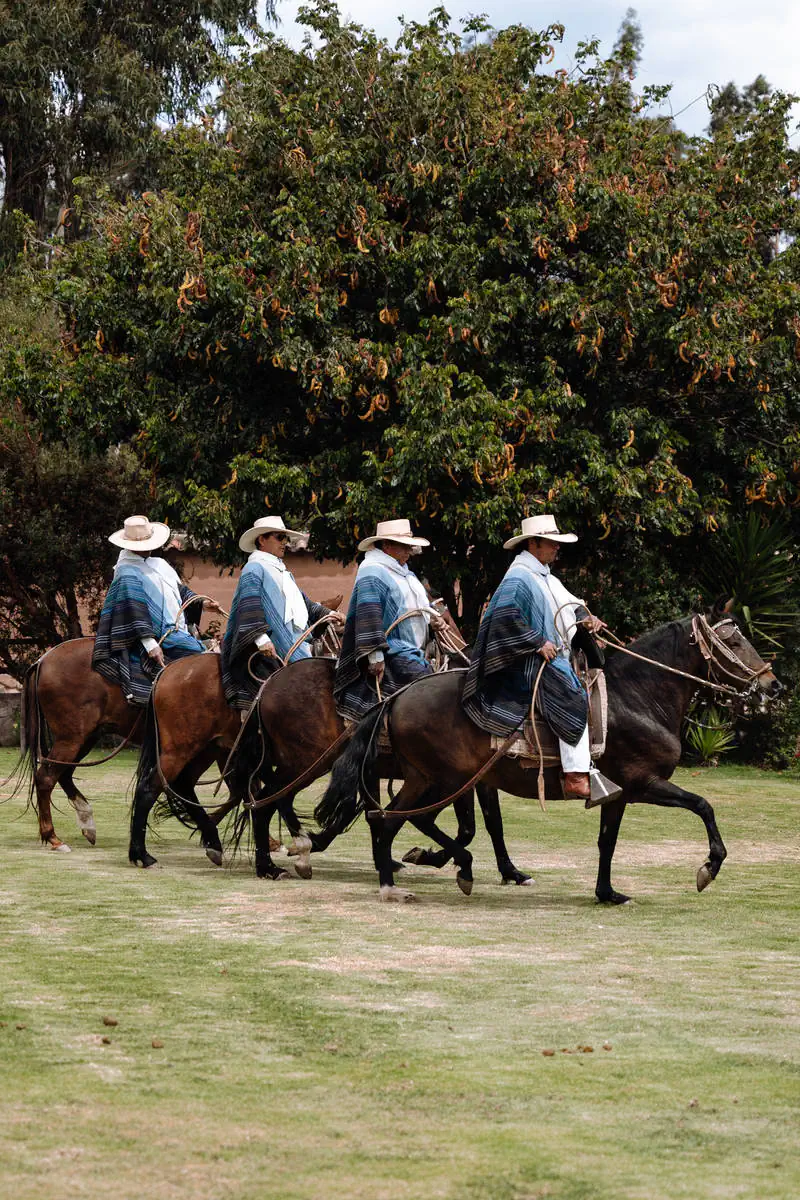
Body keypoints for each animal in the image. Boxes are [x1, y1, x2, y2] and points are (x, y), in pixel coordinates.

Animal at [316, 609, 777, 902]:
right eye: (733, 640)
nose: (773, 685)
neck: (638, 697)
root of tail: (395, 697)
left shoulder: (617, 794)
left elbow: (607, 841)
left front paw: (607, 893)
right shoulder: (644, 783)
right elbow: (703, 805)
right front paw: (709, 867)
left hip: (427, 778)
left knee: (393, 818)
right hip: (443, 779)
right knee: (397, 818)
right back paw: (409, 877)